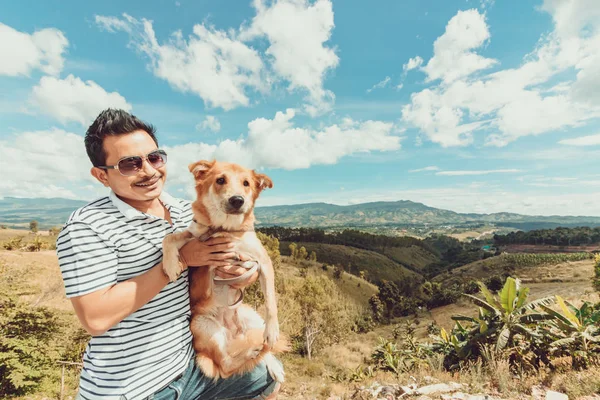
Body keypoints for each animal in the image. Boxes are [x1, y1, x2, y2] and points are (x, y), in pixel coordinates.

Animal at [163, 159, 288, 382]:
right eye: (220, 180)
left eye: (246, 183)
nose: (237, 200)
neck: (225, 228)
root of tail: (232, 332)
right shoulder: (194, 237)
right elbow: (170, 237)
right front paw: (170, 265)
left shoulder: (263, 262)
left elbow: (271, 301)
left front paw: (273, 330)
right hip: (203, 325)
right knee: (226, 365)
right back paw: (251, 351)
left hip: (252, 317)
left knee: (256, 347)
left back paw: (268, 359)